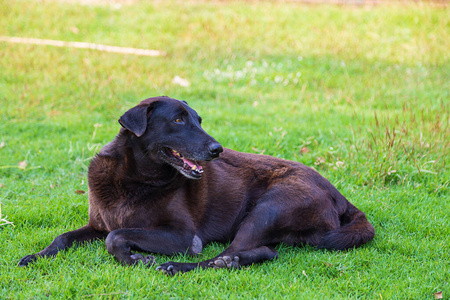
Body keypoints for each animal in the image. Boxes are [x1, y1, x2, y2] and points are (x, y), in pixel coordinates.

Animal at [17, 96, 374, 274]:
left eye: (199, 121)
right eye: (178, 120)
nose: (218, 150)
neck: (134, 179)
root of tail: (339, 196)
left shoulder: (183, 235)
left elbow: (116, 236)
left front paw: (136, 259)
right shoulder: (96, 225)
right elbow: (63, 237)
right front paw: (35, 256)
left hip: (269, 207)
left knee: (236, 252)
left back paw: (179, 265)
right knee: (263, 251)